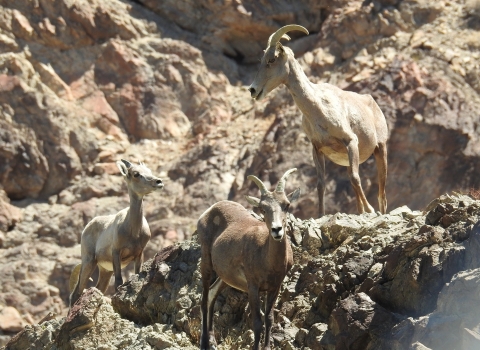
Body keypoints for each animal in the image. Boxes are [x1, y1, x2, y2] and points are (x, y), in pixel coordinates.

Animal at [68, 159, 164, 306]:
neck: (134, 232)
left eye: (149, 171)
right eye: (136, 174)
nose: (158, 182)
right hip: (89, 262)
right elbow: (119, 282)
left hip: (105, 271)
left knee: (98, 288)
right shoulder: (116, 252)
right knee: (77, 292)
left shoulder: (139, 254)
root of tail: (87, 227)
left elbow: (137, 273)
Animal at [197, 168, 298, 350]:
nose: (277, 230)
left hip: (225, 278)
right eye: (262, 208)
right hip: (206, 263)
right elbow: (257, 322)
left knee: (212, 296)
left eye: (286, 205)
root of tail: (209, 211)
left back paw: (213, 341)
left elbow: (269, 319)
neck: (268, 259)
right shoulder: (253, 287)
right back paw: (204, 343)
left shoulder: (274, 287)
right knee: (204, 300)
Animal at [249, 23, 388, 216]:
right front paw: (321, 214)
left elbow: (355, 178)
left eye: (272, 60)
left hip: (380, 149)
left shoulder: (350, 141)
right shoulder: (317, 149)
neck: (318, 109)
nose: (253, 90)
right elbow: (321, 185)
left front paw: (370, 209)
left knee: (382, 194)